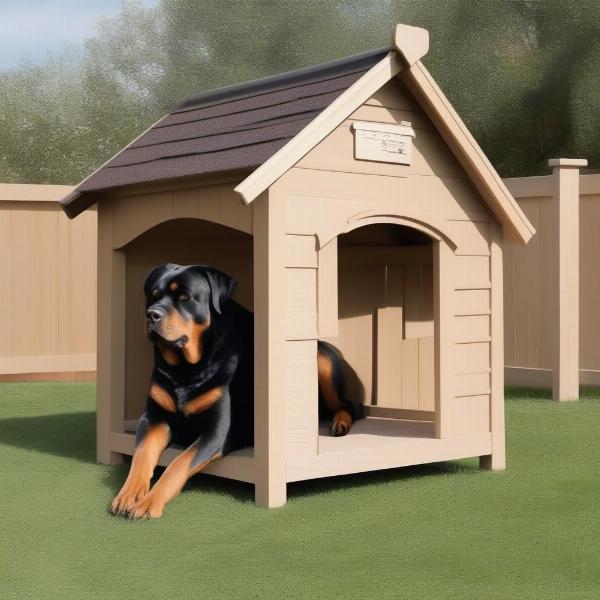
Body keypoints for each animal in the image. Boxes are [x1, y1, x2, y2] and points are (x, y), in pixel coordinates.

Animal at [110, 264, 358, 516]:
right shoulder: (153, 418)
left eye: (185, 297)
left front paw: (149, 502)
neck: (186, 369)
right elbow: (141, 455)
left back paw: (340, 423)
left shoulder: (217, 432)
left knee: (350, 405)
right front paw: (129, 494)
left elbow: (178, 463)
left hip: (323, 359)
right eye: (153, 295)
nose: (152, 314)